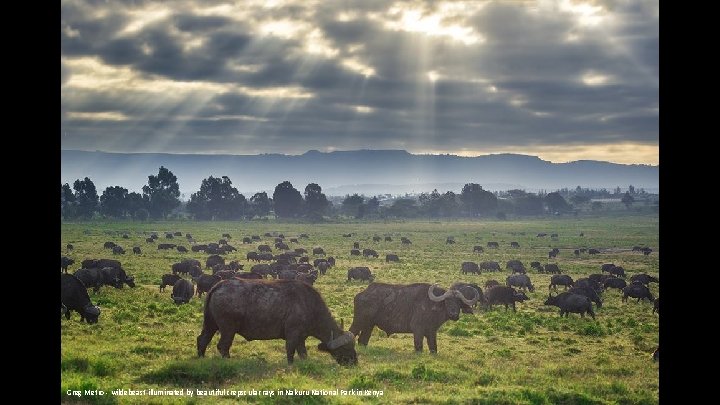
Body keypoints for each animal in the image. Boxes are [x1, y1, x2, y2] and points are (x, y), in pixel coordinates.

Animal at [197, 280, 358, 364]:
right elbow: (290, 352)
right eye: (345, 348)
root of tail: (218, 286)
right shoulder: (293, 335)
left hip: (210, 324)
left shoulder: (301, 338)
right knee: (223, 346)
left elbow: (303, 353)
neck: (309, 305)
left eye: (353, 346)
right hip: (228, 329)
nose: (354, 362)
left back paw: (201, 359)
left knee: (202, 339)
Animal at [348, 282, 478, 352]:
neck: (431, 306)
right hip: (358, 322)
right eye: (447, 301)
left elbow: (434, 348)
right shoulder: (418, 330)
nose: (454, 314)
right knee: (351, 333)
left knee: (362, 340)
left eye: (459, 302)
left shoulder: (432, 332)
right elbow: (419, 347)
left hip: (369, 325)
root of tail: (362, 294)